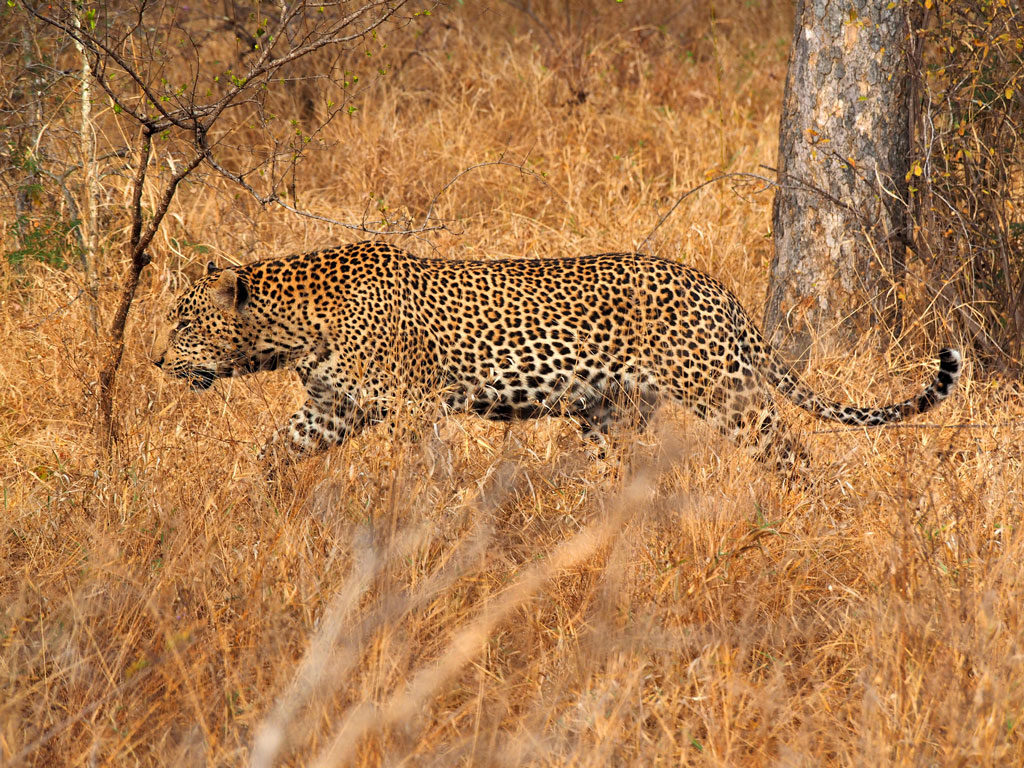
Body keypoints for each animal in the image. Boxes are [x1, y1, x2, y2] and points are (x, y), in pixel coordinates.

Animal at [153, 240, 962, 470]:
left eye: (182, 323)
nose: (157, 364)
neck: (292, 325)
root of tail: (715, 286)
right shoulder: (331, 409)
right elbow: (272, 450)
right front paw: (250, 506)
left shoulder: (412, 407)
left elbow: (418, 474)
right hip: (609, 413)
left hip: (722, 390)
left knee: (790, 449)